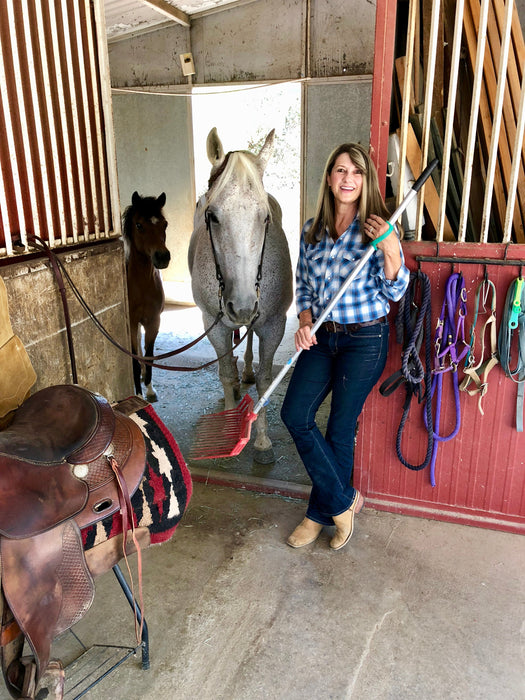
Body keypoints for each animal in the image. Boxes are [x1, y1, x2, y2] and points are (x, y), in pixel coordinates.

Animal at [188, 128, 293, 464]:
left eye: (265, 217)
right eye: (212, 215)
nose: (243, 305)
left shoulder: (273, 324)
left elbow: (264, 380)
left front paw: (262, 441)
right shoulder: (214, 324)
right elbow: (225, 375)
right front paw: (229, 424)